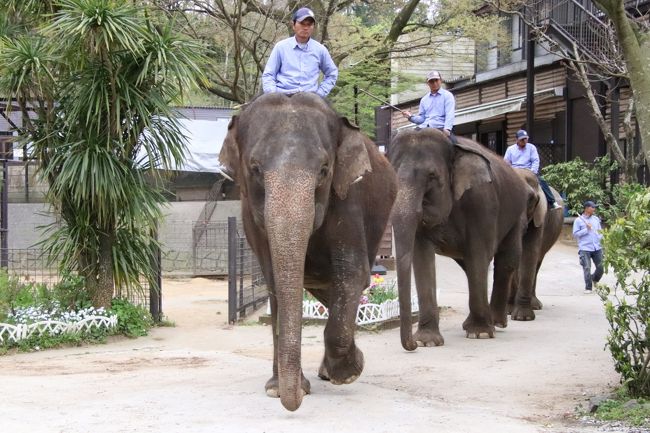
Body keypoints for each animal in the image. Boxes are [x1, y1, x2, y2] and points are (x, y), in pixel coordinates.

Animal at [220, 91, 398, 408]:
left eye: (325, 170)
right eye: (255, 169)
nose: (293, 404)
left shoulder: (347, 197)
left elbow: (353, 274)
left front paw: (349, 372)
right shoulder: (252, 218)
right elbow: (276, 283)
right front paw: (278, 390)